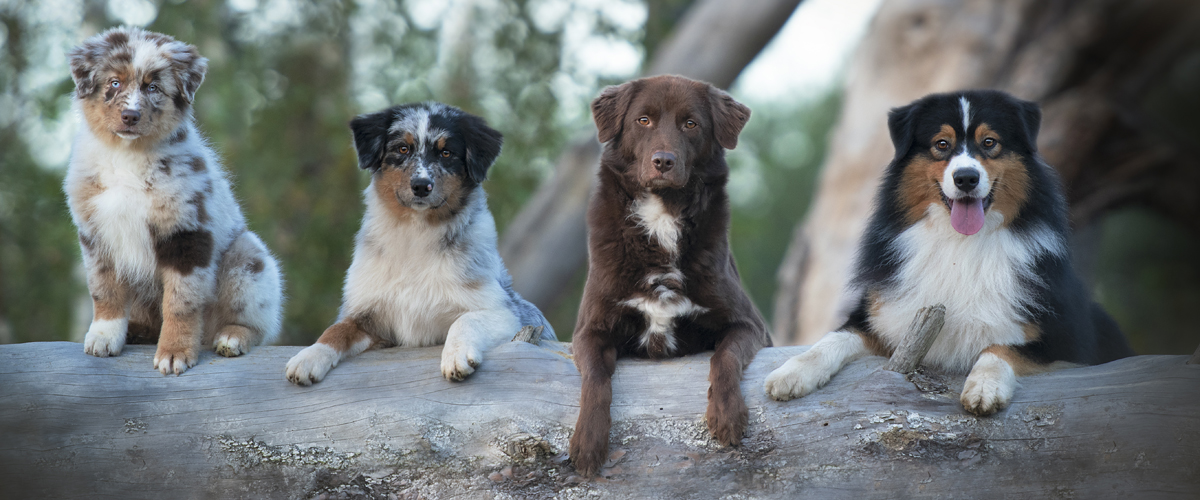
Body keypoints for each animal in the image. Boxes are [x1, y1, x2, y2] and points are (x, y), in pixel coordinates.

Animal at [568, 74, 768, 474]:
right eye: (643, 120)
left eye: (690, 124)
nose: (663, 161)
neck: (662, 216)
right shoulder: (590, 330)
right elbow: (595, 380)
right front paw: (588, 442)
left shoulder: (749, 325)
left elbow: (724, 357)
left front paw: (727, 415)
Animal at [763, 90, 1128, 417]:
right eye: (941, 144)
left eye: (990, 142)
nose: (966, 178)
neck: (960, 243)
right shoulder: (884, 319)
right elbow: (835, 337)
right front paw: (790, 373)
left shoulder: (1069, 342)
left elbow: (999, 348)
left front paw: (983, 388)